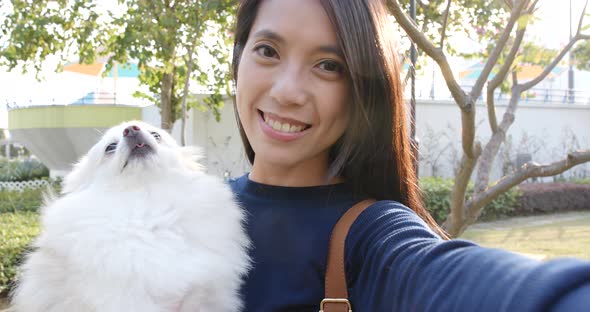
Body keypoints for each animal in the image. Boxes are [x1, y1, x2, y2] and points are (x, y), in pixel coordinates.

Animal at [9, 120, 250, 310]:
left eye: (156, 135)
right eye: (110, 147)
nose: (131, 129)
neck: (146, 204)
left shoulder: (207, 296)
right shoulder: (124, 299)